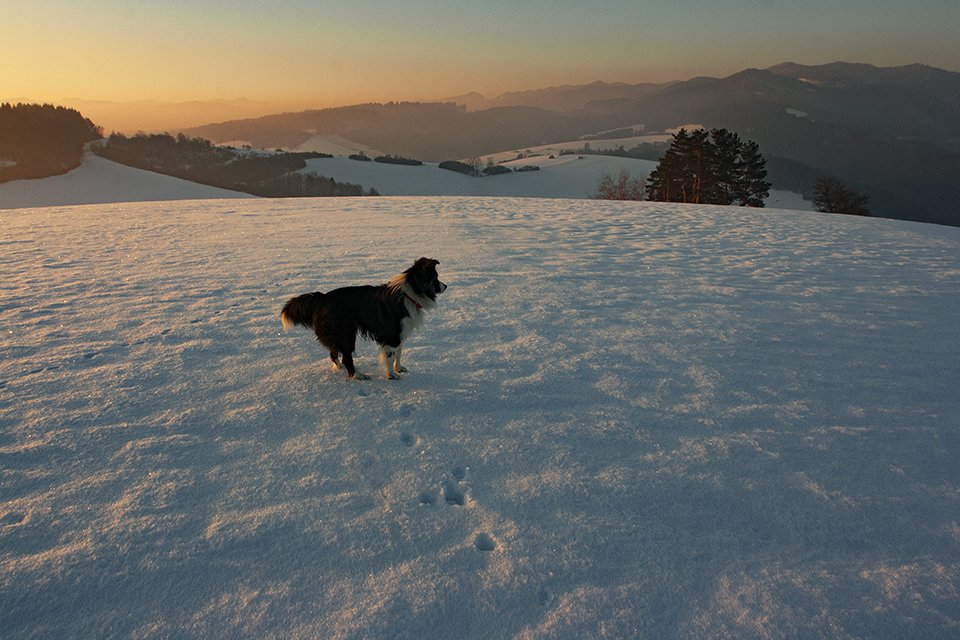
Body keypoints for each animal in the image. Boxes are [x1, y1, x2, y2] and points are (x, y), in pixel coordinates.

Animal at [282, 258, 446, 380]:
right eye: (435, 278)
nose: (445, 286)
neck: (409, 294)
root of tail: (321, 298)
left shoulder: (401, 334)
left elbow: (399, 353)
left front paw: (399, 368)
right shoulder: (392, 335)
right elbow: (390, 356)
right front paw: (391, 375)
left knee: (334, 353)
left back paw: (339, 369)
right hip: (346, 332)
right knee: (346, 357)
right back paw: (358, 375)